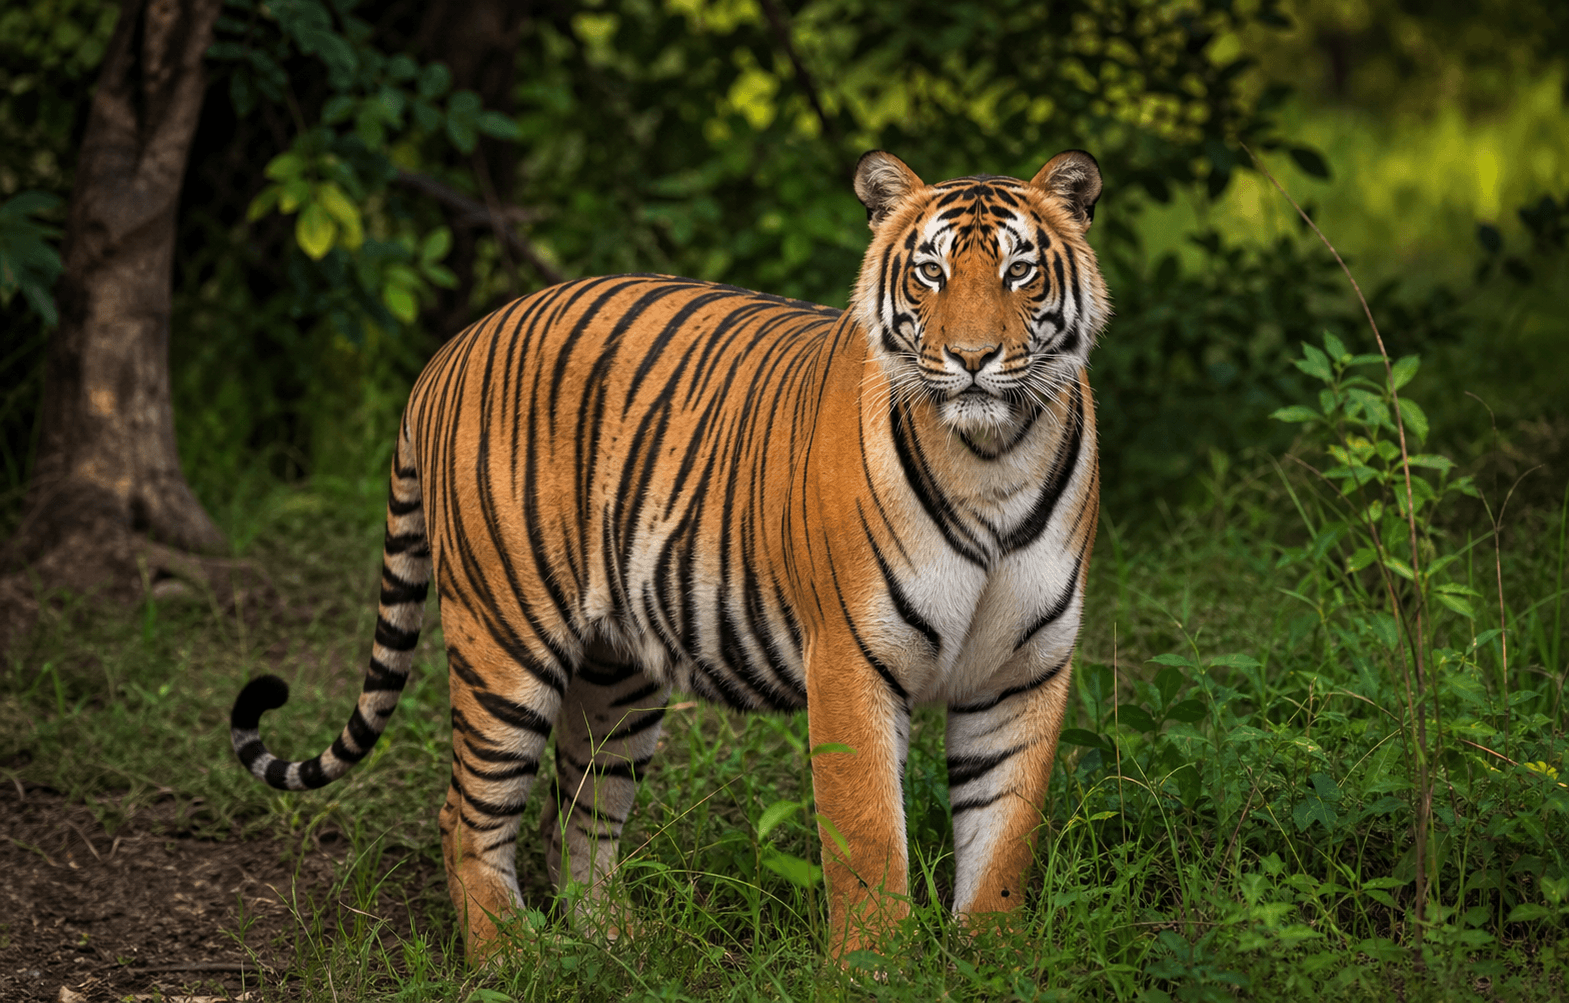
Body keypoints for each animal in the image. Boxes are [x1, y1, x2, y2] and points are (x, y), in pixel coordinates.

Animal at [229, 148, 1108, 963]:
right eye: (929, 272)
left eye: (1019, 270)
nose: (971, 358)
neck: (993, 458)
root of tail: (449, 350)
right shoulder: (851, 661)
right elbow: (866, 835)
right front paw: (875, 965)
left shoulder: (1022, 668)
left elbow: (1005, 828)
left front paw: (994, 955)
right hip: (504, 642)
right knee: (467, 813)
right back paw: (507, 954)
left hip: (617, 674)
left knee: (574, 815)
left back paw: (616, 941)